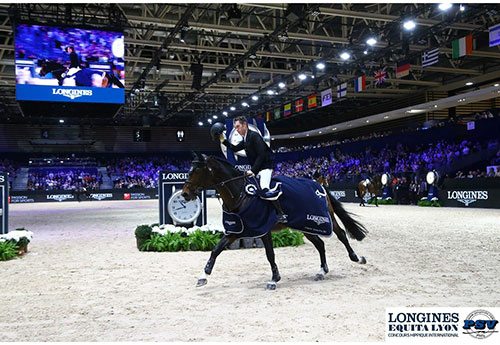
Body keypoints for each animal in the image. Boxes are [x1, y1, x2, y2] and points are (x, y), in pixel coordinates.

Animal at [181, 152, 368, 288]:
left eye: (196, 171)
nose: (185, 194)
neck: (241, 194)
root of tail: (319, 185)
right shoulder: (236, 231)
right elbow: (216, 250)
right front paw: (203, 277)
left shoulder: (263, 228)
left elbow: (270, 253)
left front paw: (274, 279)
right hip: (305, 225)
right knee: (320, 244)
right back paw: (322, 271)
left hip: (325, 217)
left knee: (341, 234)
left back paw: (357, 258)